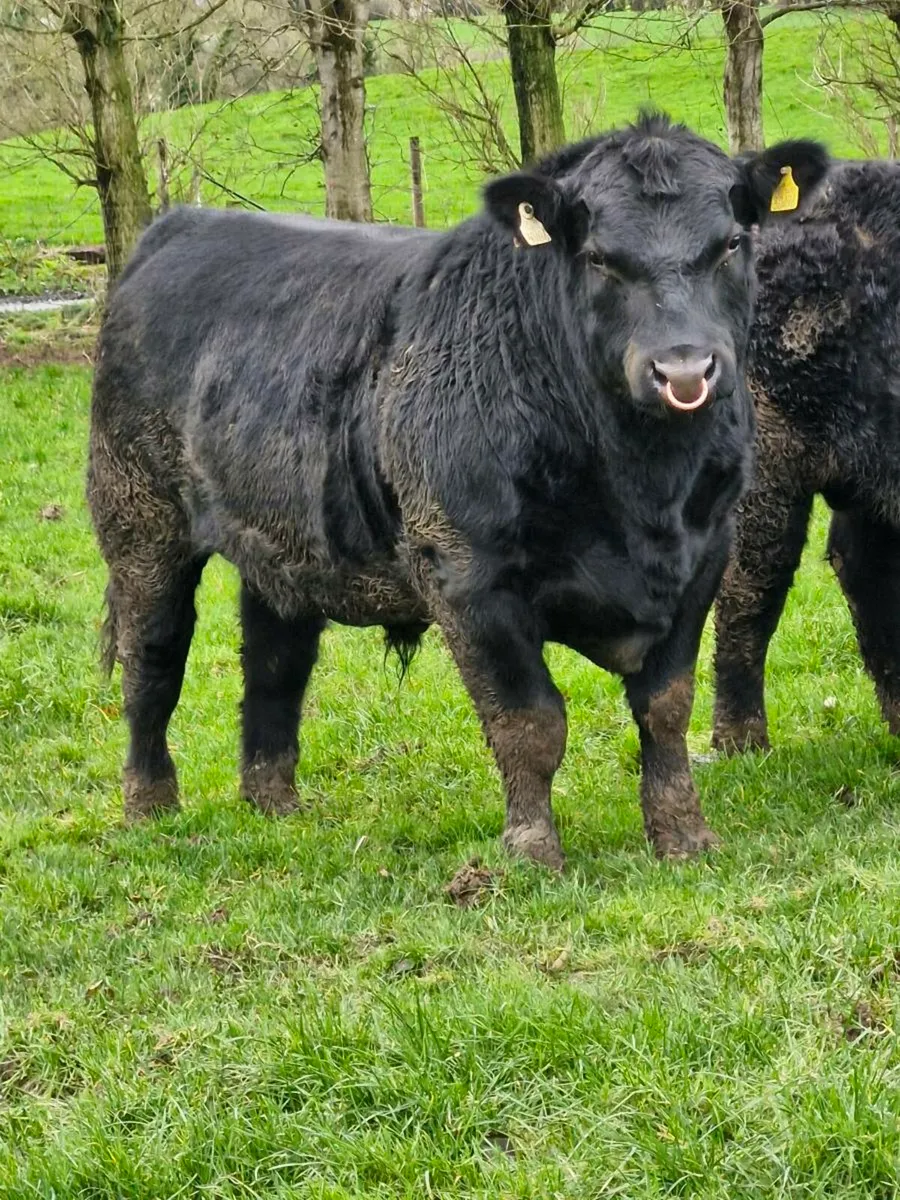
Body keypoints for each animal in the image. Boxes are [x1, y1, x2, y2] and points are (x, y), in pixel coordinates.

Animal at [87, 113, 827, 869]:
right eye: (598, 258)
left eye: (732, 243)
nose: (683, 369)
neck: (642, 490)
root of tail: (179, 226)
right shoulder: (469, 578)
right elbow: (530, 722)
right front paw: (532, 852)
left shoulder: (704, 558)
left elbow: (666, 706)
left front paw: (683, 834)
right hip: (139, 519)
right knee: (152, 658)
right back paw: (149, 805)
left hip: (282, 540)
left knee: (274, 661)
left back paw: (273, 802)